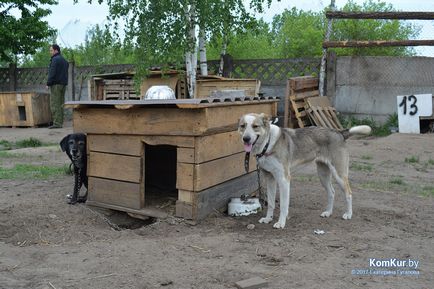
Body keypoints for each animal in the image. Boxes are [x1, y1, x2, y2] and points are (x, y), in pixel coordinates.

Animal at [239, 112, 372, 227]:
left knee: (348, 193)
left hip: (339, 174)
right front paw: (268, 219)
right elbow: (271, 203)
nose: (246, 138)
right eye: (242, 126)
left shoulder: (284, 180)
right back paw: (328, 212)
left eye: (255, 126)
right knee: (332, 192)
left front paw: (281, 223)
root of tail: (339, 132)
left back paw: (348, 214)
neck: (268, 143)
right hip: (323, 174)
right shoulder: (270, 178)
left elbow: (283, 205)